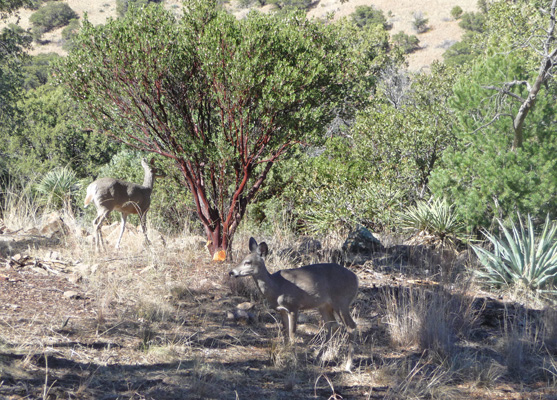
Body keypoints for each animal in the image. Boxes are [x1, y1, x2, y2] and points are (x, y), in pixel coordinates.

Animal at [228, 236, 358, 368]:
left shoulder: (293, 306)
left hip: (342, 301)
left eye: (248, 262)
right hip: (324, 305)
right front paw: (286, 356)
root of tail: (356, 279)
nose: (231, 272)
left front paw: (294, 360)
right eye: (242, 259)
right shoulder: (281, 310)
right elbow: (285, 333)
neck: (277, 287)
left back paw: (348, 365)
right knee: (333, 325)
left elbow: (292, 333)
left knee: (351, 326)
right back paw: (318, 358)